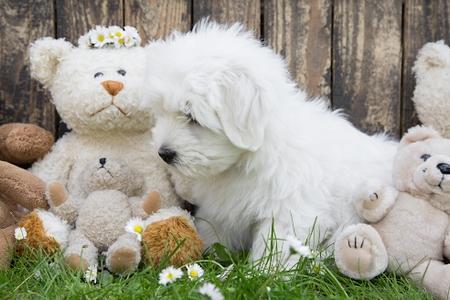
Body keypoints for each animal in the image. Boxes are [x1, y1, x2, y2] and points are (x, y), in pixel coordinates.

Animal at [144, 22, 398, 268]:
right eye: (161, 112)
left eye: (192, 117)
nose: (164, 153)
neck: (251, 155)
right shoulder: (224, 208)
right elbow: (214, 231)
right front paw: (203, 253)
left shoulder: (288, 210)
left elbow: (272, 246)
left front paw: (258, 272)